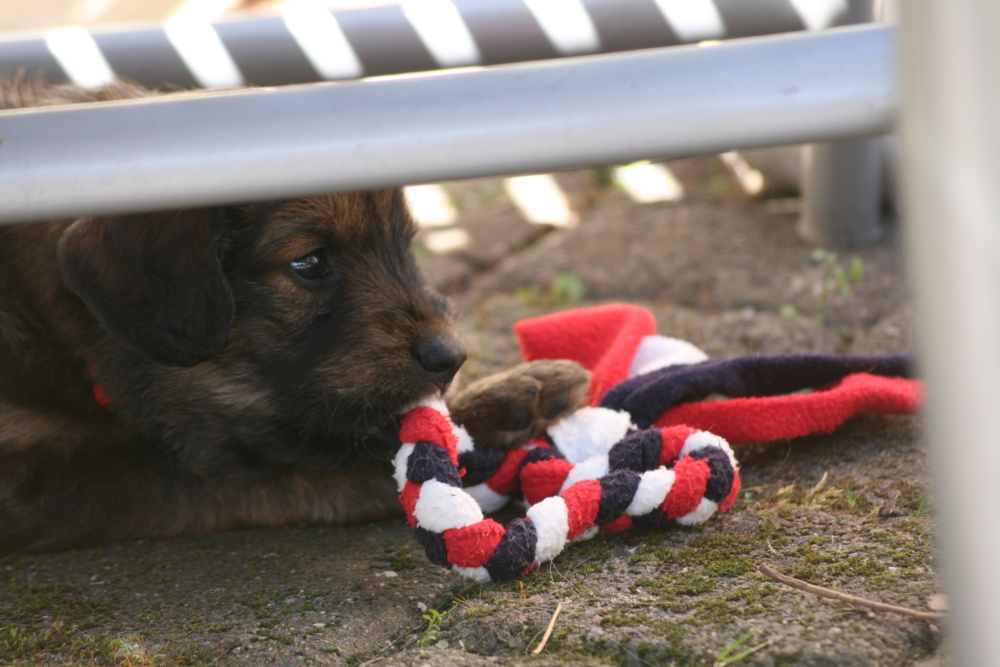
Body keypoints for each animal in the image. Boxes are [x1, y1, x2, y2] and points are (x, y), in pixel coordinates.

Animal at [0, 79, 588, 552]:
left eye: (403, 246)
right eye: (309, 263)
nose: (452, 357)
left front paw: (507, 398)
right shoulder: (43, 478)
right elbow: (241, 474)